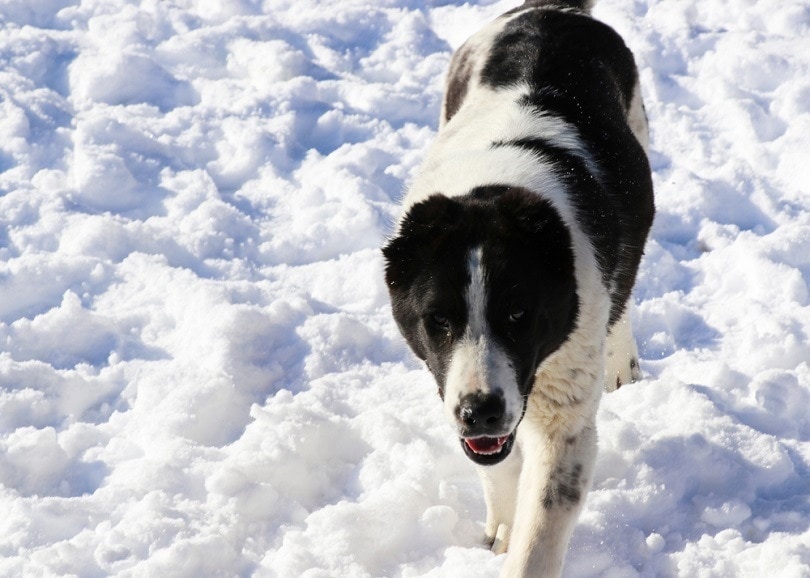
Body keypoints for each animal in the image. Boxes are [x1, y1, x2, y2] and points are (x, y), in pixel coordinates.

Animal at [382, 2, 652, 572]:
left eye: (517, 314)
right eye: (438, 319)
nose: (479, 411)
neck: (492, 190)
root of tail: (556, 10)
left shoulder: (563, 416)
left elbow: (539, 534)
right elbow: (498, 468)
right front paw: (501, 532)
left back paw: (622, 364)